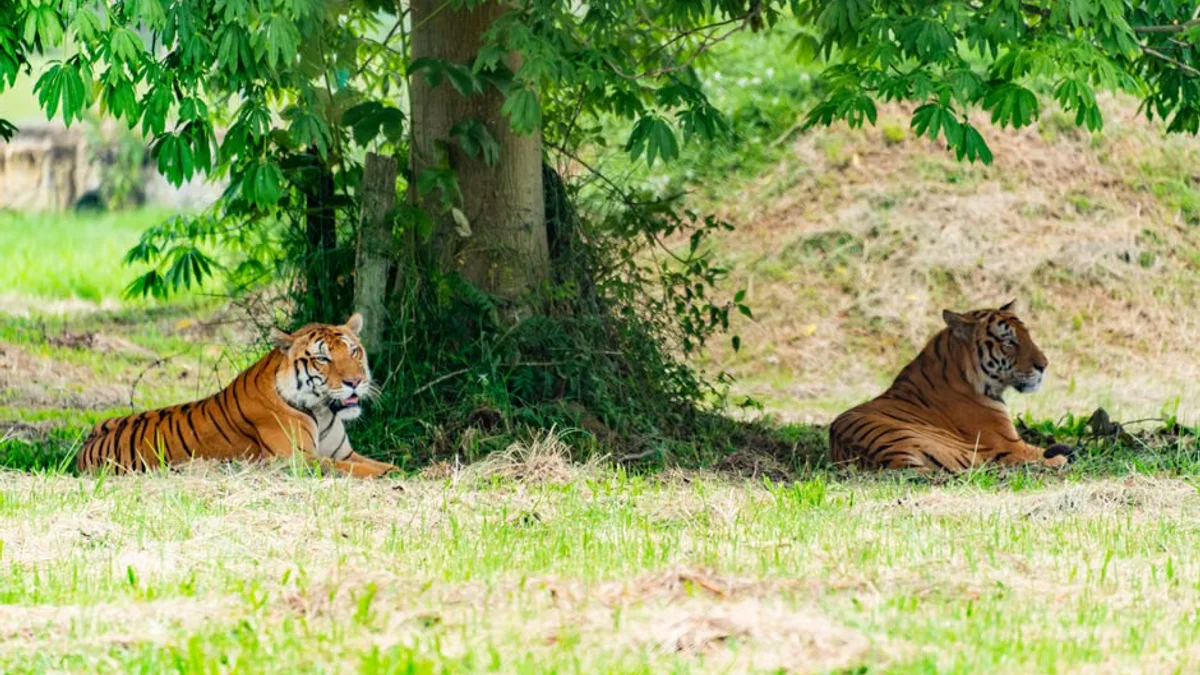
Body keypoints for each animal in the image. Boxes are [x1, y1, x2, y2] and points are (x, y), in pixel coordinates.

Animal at [76, 313, 400, 478]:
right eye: (323, 359)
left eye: (353, 351)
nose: (356, 381)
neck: (322, 411)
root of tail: (85, 446)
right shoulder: (296, 459)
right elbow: (354, 469)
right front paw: (392, 475)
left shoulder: (342, 452)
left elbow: (372, 462)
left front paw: (400, 470)